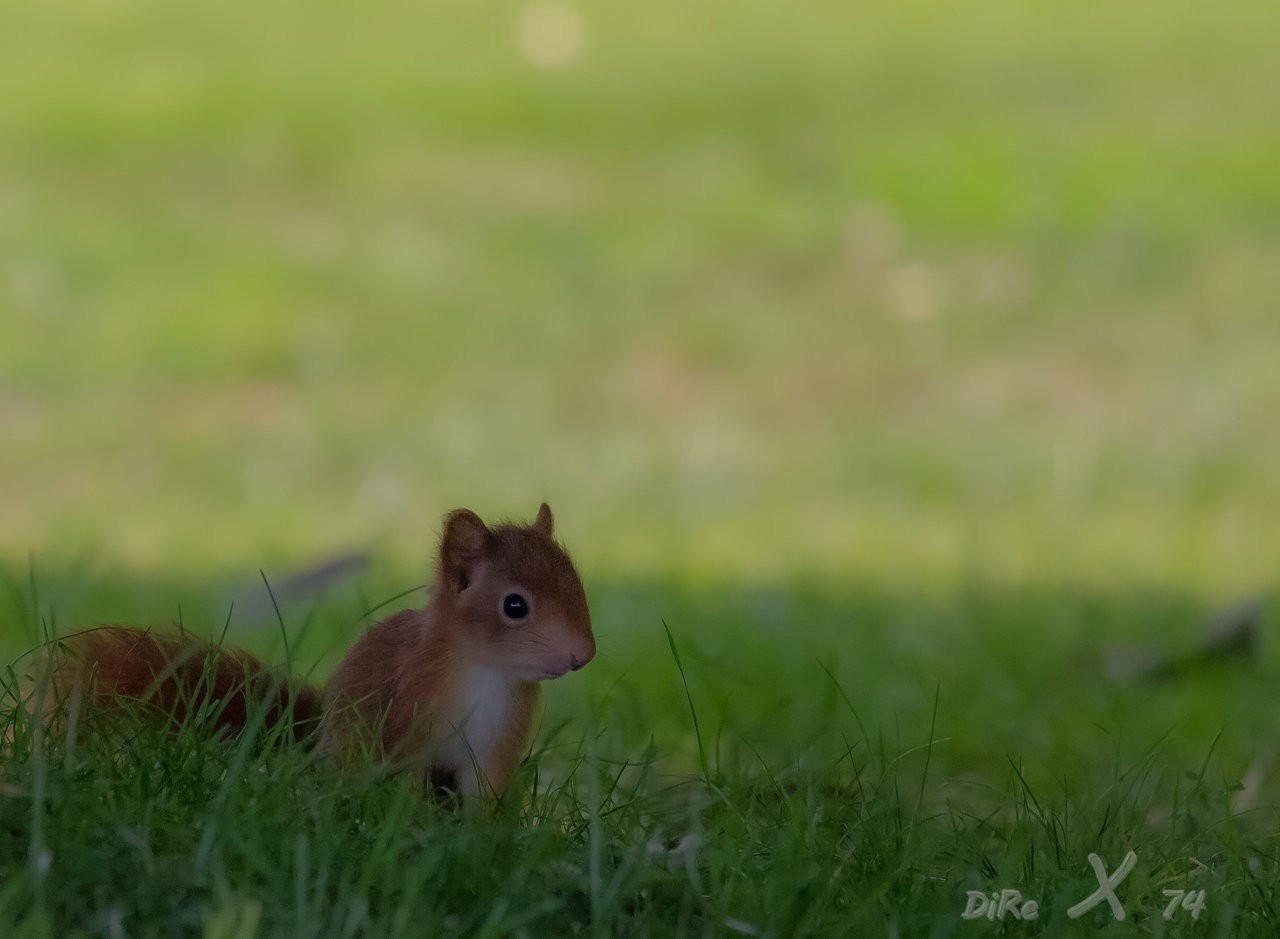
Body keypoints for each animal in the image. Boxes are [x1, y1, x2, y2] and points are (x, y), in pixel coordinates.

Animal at [43, 504, 593, 803]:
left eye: (577, 583)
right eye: (514, 606)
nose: (583, 656)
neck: (485, 672)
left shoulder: (496, 741)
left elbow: (485, 795)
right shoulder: (405, 721)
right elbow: (406, 784)